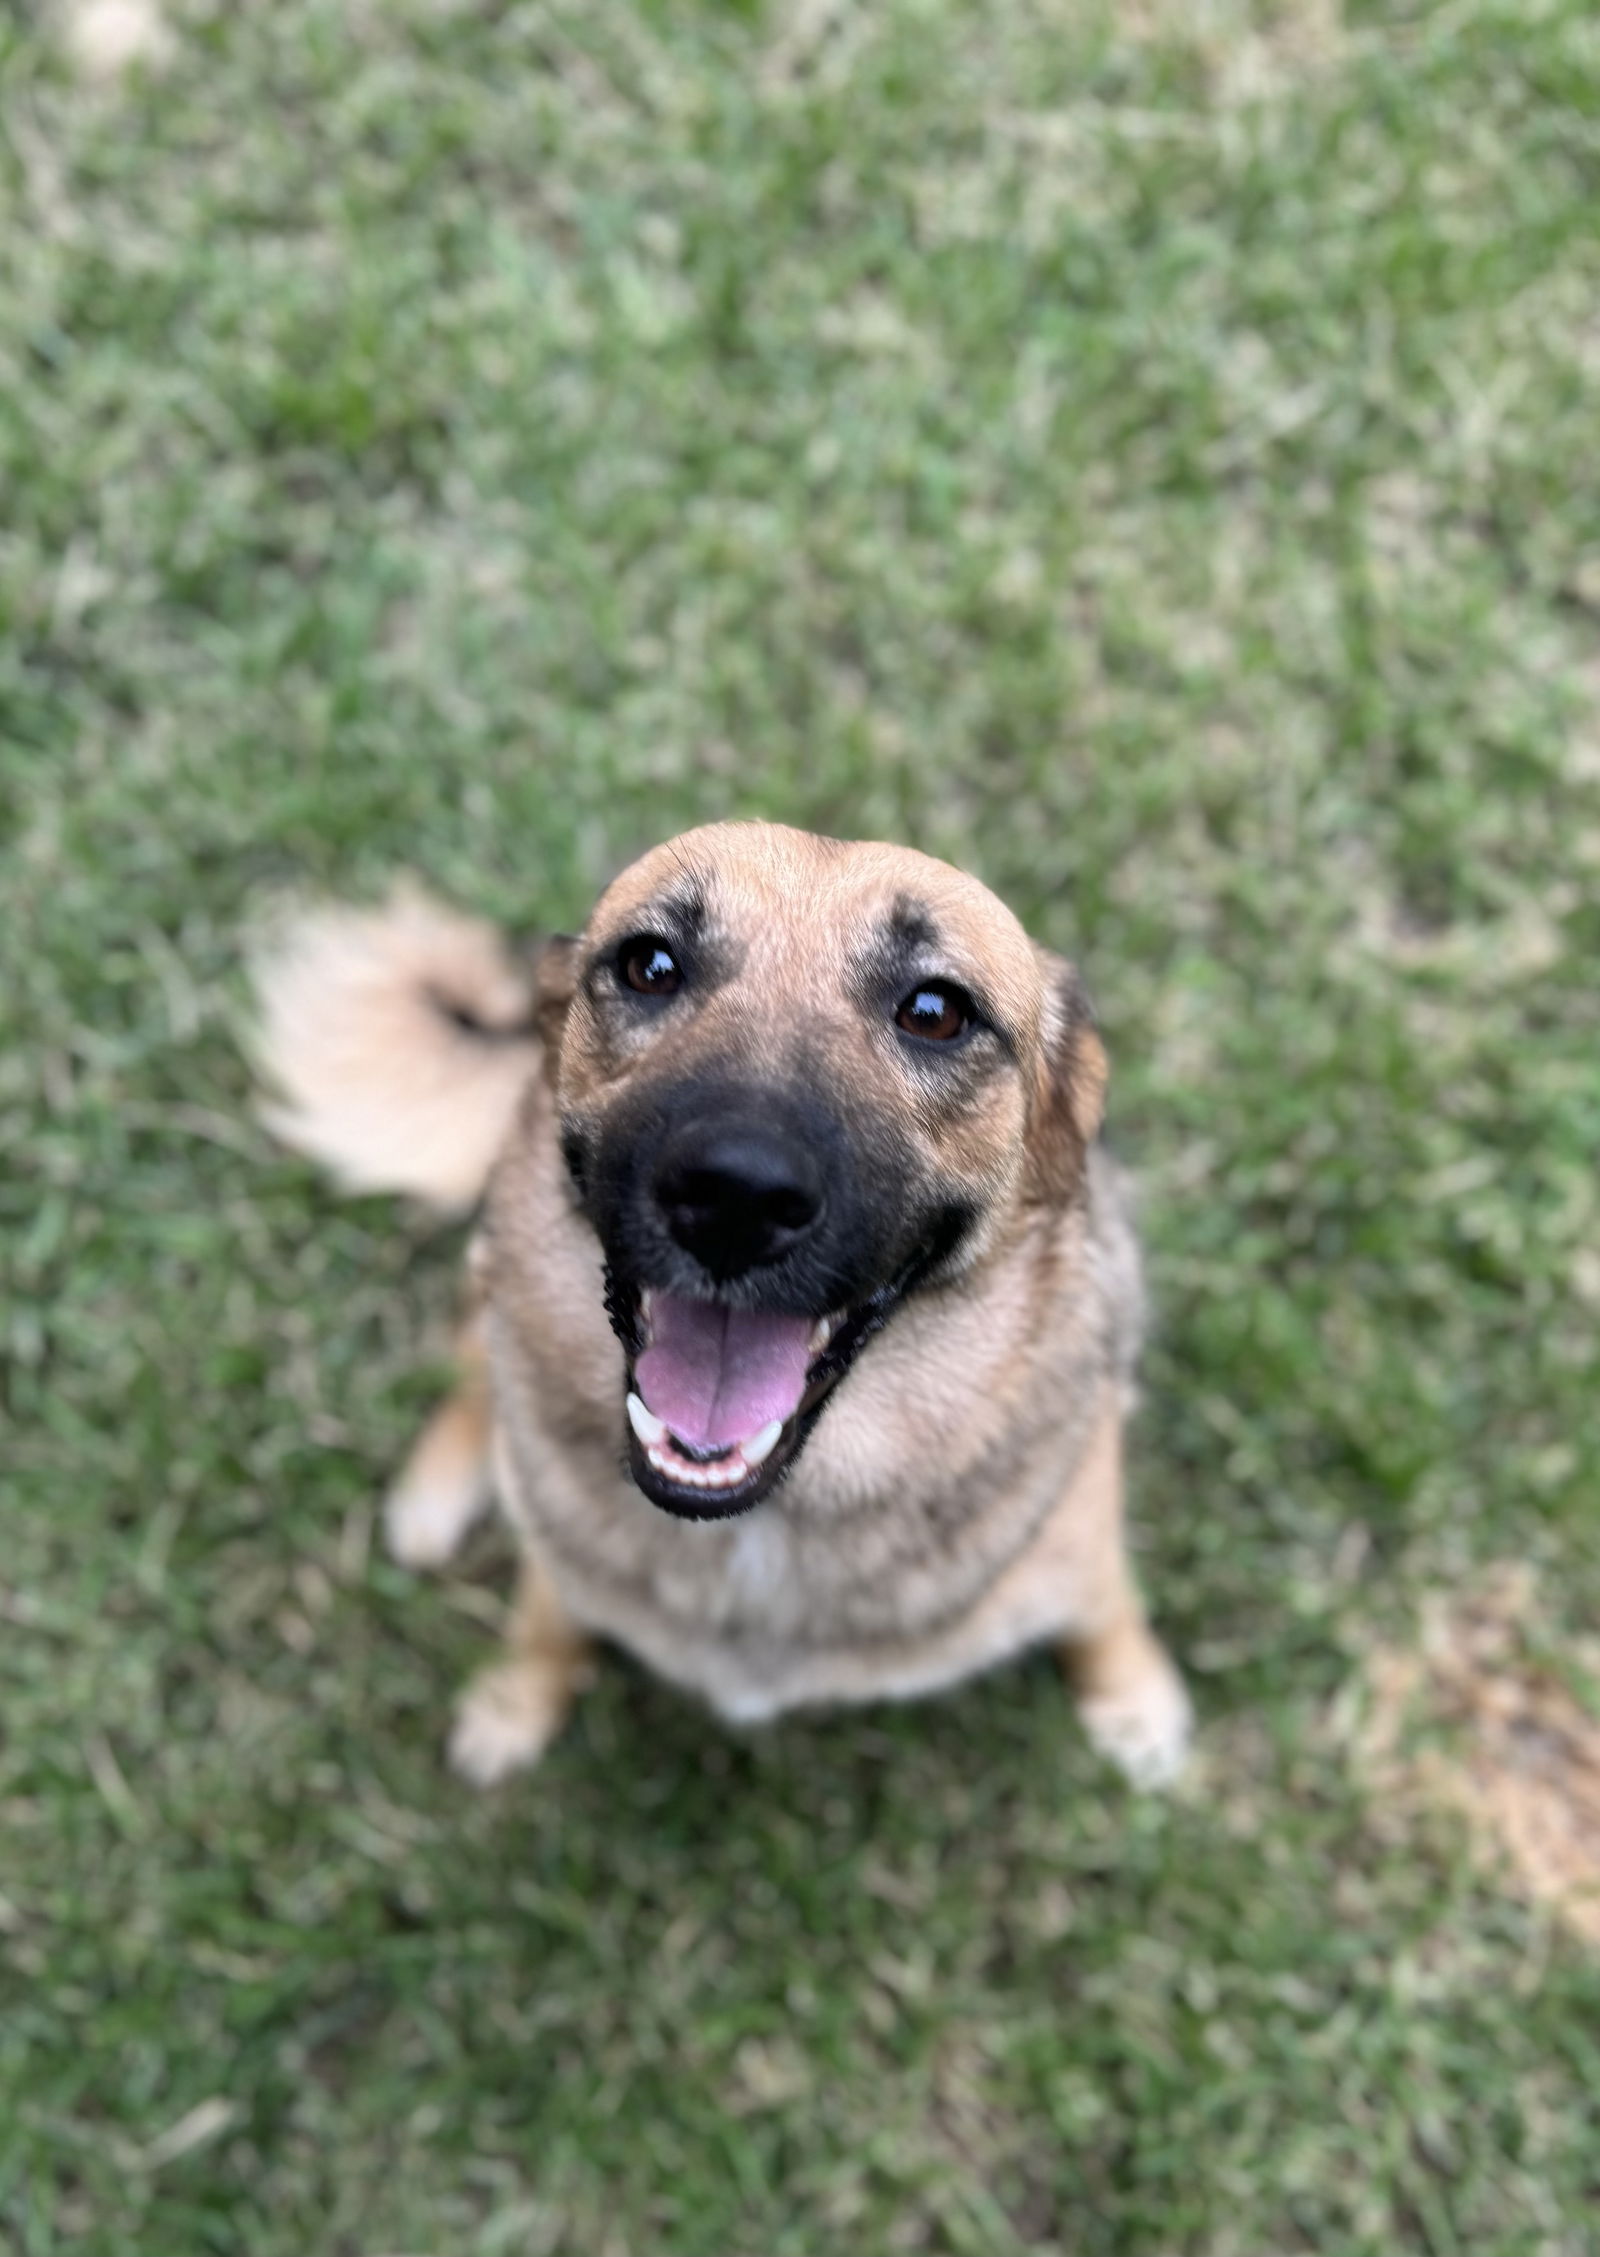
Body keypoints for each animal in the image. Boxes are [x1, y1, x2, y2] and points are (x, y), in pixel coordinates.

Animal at [252, 821, 1182, 1787]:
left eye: (935, 1011)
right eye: (651, 964)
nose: (737, 1196)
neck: (762, 1523)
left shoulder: (1083, 1543)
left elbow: (1106, 1612)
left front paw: (1135, 1702)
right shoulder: (559, 1564)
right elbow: (546, 1623)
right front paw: (514, 1701)